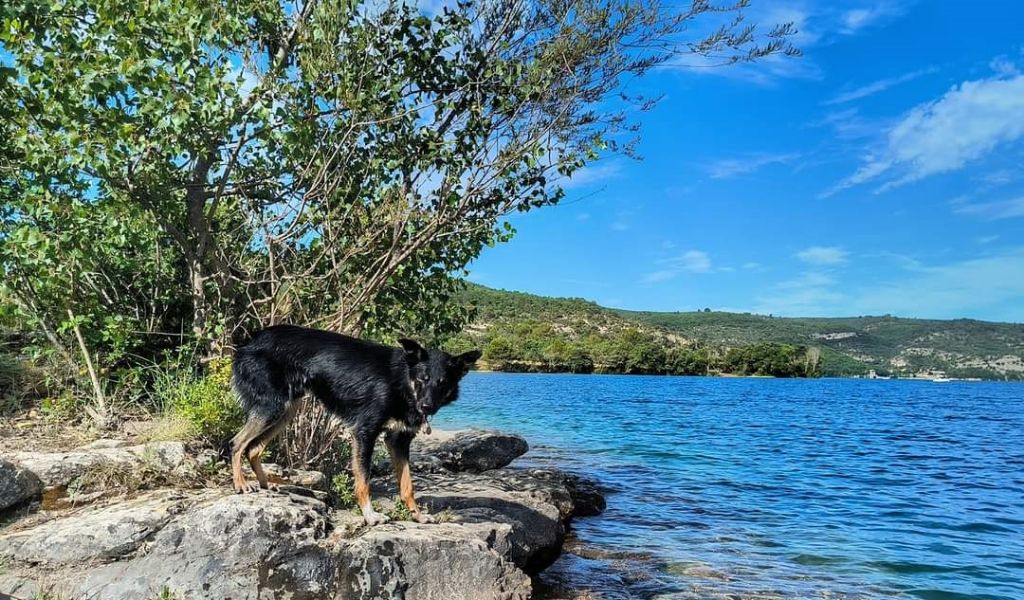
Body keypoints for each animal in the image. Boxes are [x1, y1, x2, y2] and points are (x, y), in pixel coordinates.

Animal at [230, 321, 477, 524]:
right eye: (422, 379)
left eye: (443, 383)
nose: (427, 407)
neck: (402, 381)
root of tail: (250, 341)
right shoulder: (365, 433)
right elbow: (363, 480)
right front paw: (370, 515)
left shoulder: (398, 440)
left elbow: (407, 485)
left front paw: (417, 516)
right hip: (272, 407)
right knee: (236, 443)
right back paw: (240, 484)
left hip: (286, 410)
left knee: (253, 448)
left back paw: (264, 484)